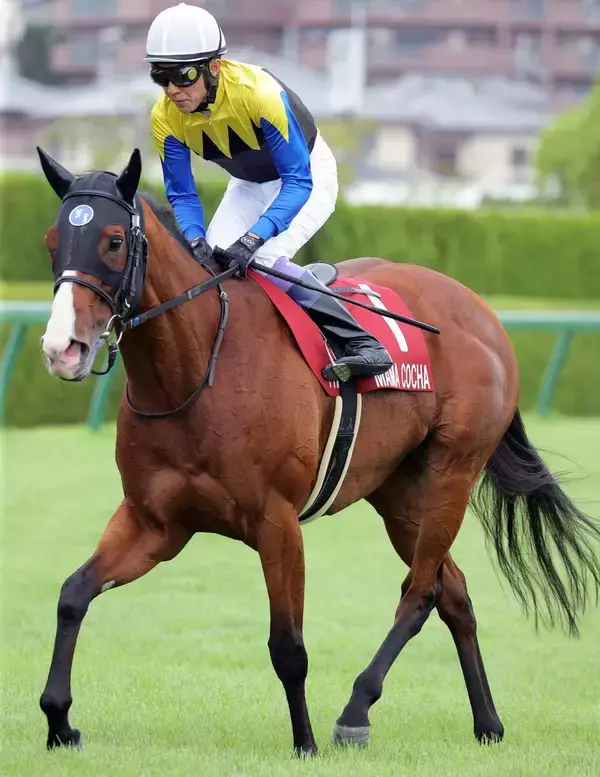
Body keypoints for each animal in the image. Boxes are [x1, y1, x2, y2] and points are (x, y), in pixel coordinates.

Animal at [36, 147, 600, 756]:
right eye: (51, 240)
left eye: (114, 240)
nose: (62, 348)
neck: (199, 369)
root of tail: (482, 312)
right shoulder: (155, 522)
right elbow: (73, 593)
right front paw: (59, 720)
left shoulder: (276, 520)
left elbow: (288, 645)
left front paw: (303, 742)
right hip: (400, 492)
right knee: (453, 592)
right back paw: (487, 722)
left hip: (454, 470)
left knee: (420, 592)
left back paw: (355, 712)